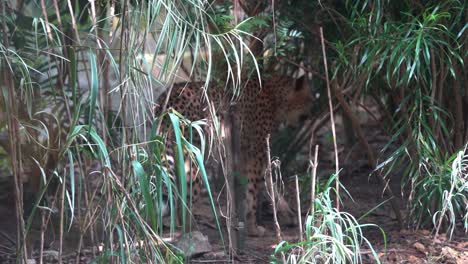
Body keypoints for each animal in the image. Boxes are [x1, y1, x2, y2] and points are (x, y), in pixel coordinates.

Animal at [155, 75, 312, 237]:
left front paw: (288, 215)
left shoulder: (245, 156)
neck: (275, 95)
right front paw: (253, 228)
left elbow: (268, 185)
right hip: (194, 155)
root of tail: (170, 95)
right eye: (310, 99)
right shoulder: (256, 155)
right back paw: (191, 232)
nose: (311, 114)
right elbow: (253, 191)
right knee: (186, 197)